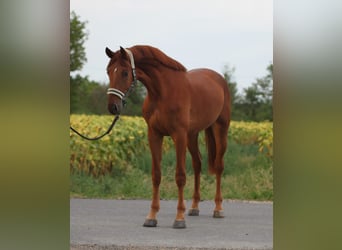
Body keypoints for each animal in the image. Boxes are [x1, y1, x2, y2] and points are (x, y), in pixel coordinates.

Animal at [105, 45, 231, 229]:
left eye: (125, 73)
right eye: (108, 71)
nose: (113, 107)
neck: (163, 92)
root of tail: (219, 79)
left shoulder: (179, 135)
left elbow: (180, 176)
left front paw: (179, 218)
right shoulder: (154, 135)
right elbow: (156, 175)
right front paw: (151, 216)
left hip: (220, 129)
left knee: (219, 166)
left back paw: (218, 208)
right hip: (192, 135)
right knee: (197, 164)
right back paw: (194, 207)